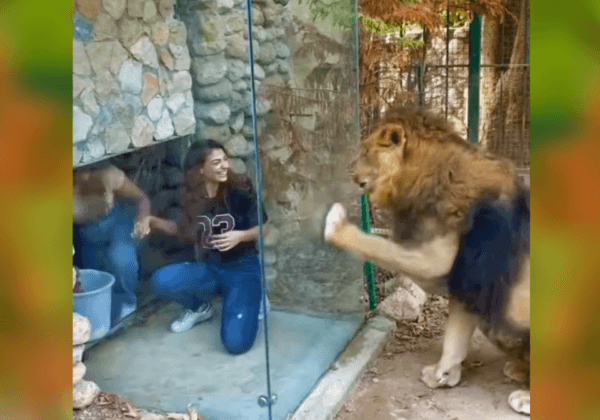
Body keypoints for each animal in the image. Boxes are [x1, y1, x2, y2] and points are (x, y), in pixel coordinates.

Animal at [324, 106, 528, 416]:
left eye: (366, 150)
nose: (349, 169)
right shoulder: (468, 279)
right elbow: (455, 336)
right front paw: (444, 374)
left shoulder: (439, 260)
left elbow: (377, 245)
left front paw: (335, 225)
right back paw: (518, 370)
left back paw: (526, 397)